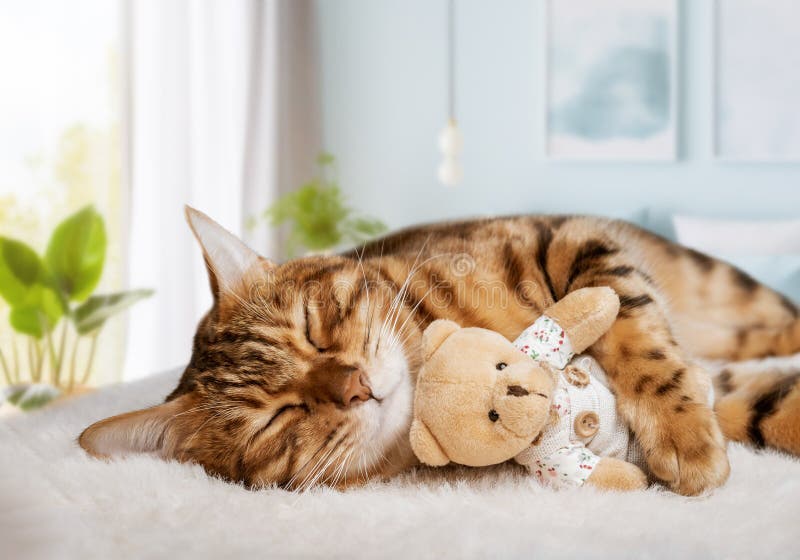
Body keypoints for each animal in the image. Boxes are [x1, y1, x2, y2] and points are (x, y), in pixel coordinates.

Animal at [79, 209, 800, 494]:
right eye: (277, 418)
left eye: (313, 328)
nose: (356, 386)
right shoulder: (728, 388)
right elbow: (774, 408)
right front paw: (696, 436)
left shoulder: (568, 239)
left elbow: (638, 333)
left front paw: (683, 436)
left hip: (717, 283)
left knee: (778, 317)